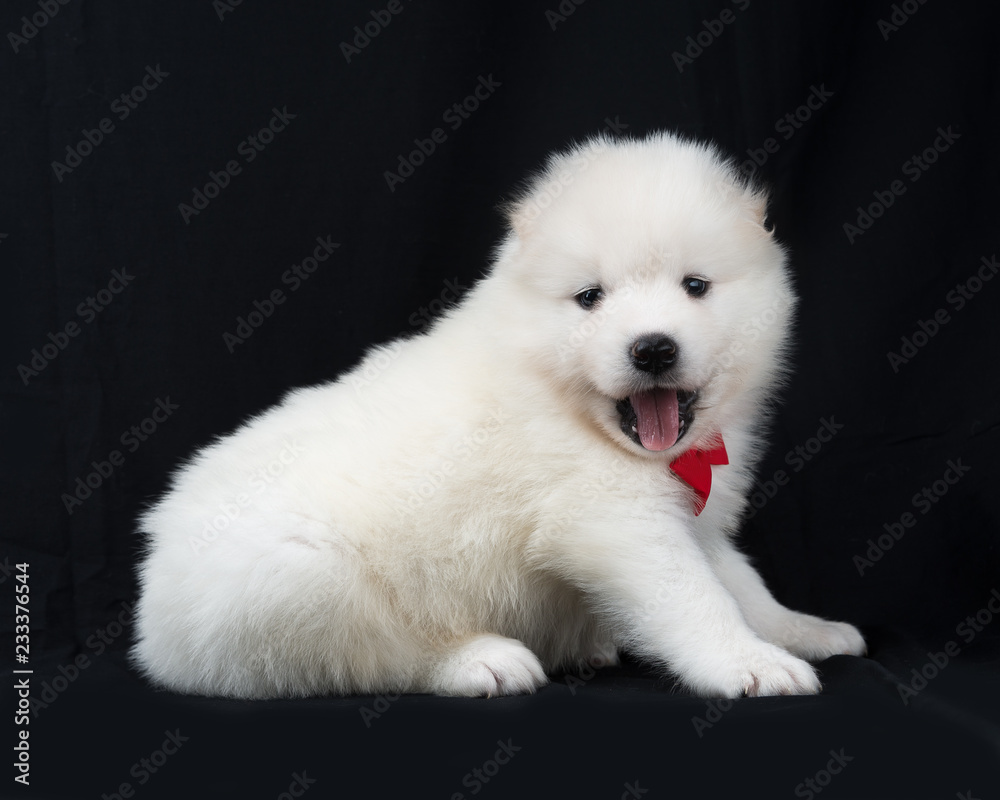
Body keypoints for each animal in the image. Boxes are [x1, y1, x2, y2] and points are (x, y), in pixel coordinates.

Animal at [131, 134, 868, 696]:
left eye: (696, 286)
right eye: (590, 298)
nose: (653, 348)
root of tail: (150, 617)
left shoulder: (697, 519)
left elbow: (742, 585)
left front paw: (801, 630)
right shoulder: (615, 521)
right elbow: (696, 598)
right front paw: (751, 665)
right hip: (298, 581)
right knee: (378, 654)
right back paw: (482, 659)